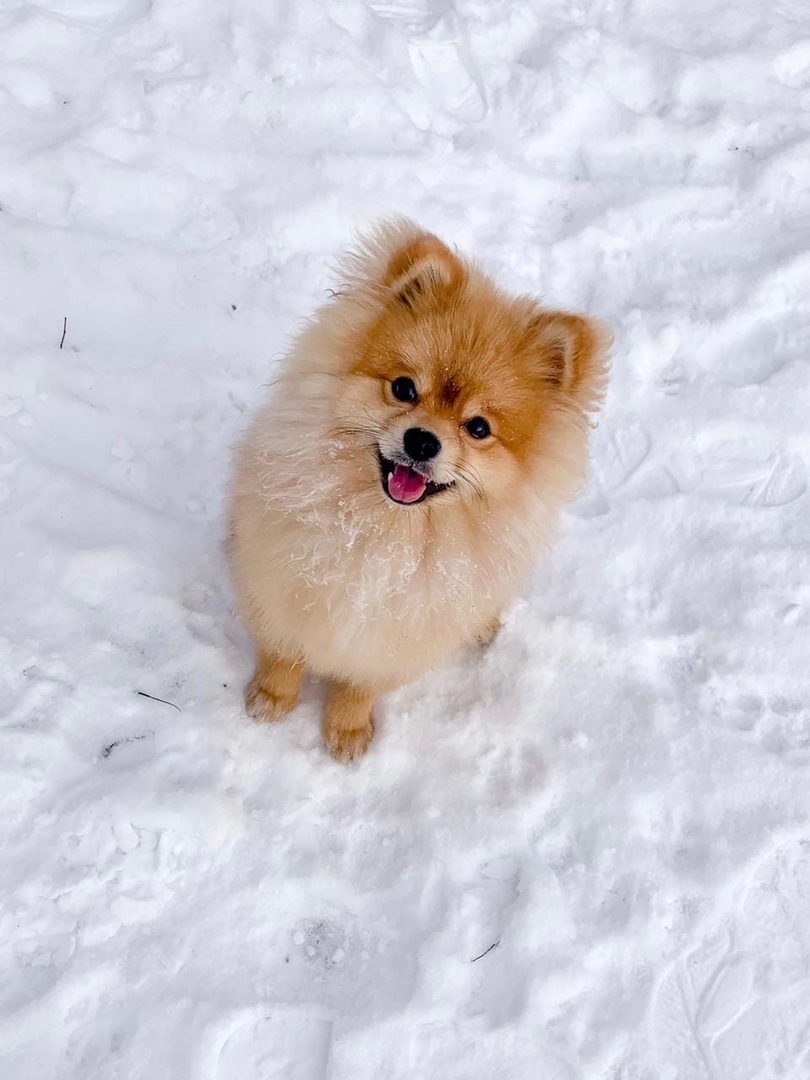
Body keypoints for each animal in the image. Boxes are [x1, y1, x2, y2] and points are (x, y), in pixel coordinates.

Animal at [228, 217, 609, 760]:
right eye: (404, 388)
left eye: (478, 428)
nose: (423, 439)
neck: (385, 531)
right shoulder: (278, 584)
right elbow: (282, 654)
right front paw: (269, 699)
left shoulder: (397, 637)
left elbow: (359, 686)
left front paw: (346, 732)